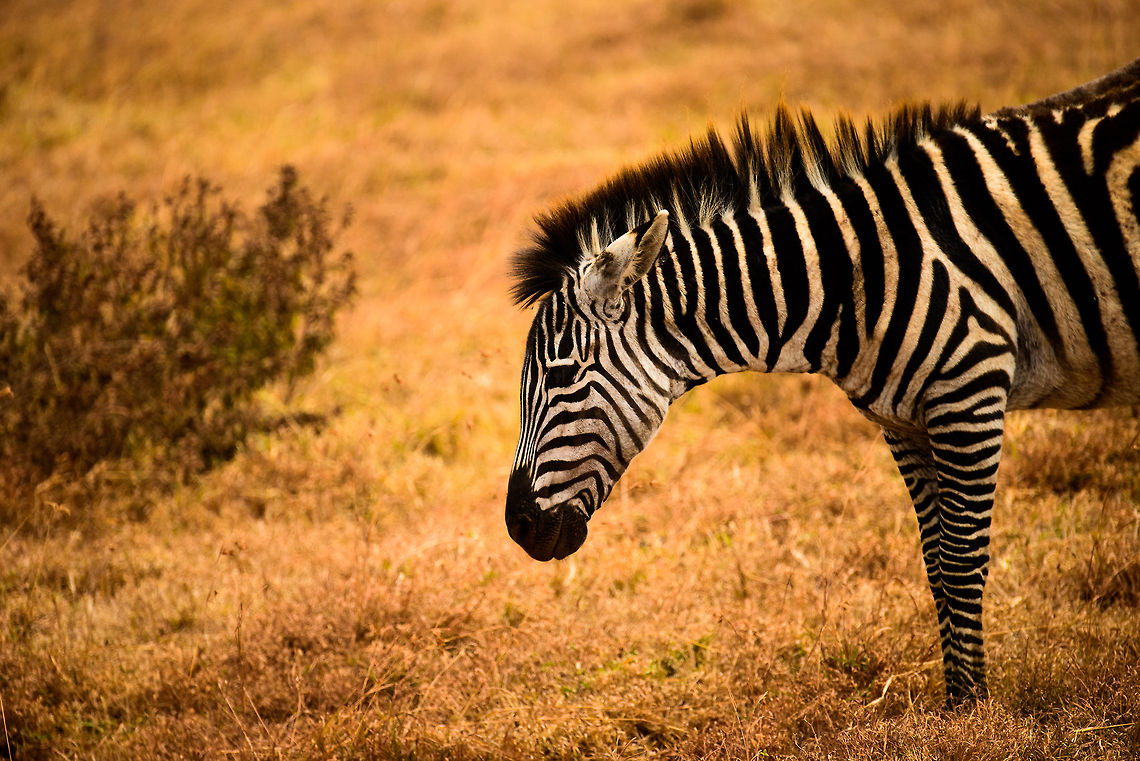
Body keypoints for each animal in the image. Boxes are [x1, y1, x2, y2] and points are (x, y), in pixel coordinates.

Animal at [505, 58, 1140, 706]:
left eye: (561, 375)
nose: (517, 527)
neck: (854, 274)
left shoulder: (970, 390)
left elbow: (962, 560)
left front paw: (972, 709)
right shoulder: (904, 420)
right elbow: (936, 562)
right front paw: (956, 704)